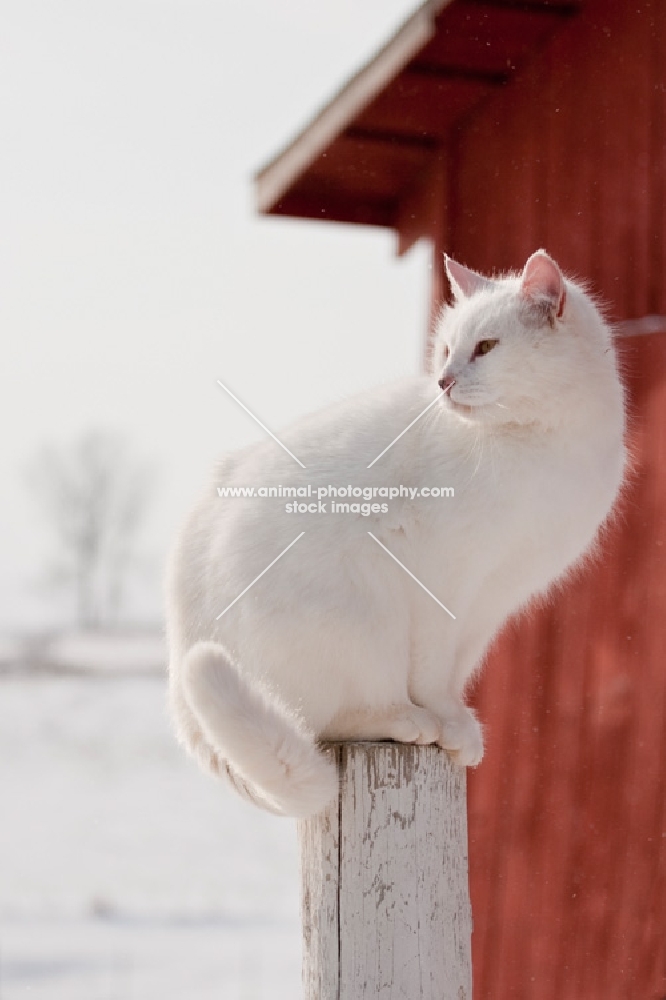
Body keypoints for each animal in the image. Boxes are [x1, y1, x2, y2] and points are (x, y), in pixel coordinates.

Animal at [165, 254, 624, 816]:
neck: (542, 445)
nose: (444, 381)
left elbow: (454, 670)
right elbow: (431, 673)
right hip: (364, 615)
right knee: (327, 720)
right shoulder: (442, 583)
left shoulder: (490, 603)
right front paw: (444, 721)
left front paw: (459, 725)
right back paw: (403, 719)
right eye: (447, 349)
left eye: (486, 347)